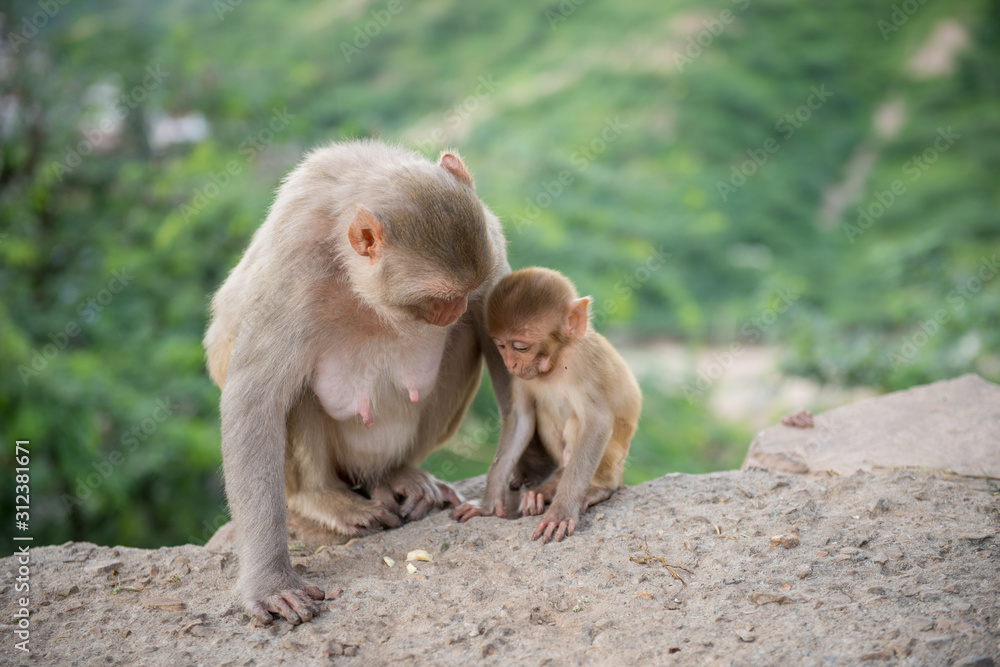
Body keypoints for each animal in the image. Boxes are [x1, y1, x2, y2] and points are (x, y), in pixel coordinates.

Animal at [207, 141, 512, 628]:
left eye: (471, 288)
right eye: (440, 297)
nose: (459, 307)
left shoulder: (491, 241)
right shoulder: (295, 270)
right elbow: (254, 401)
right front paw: (271, 583)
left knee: (464, 339)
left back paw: (396, 475)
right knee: (297, 395)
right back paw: (321, 498)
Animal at [452, 266, 640, 544]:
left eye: (521, 347)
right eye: (501, 346)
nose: (510, 364)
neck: (556, 360)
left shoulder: (582, 363)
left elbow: (596, 422)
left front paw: (562, 511)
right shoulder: (520, 377)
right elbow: (520, 419)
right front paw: (487, 504)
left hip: (616, 462)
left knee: (577, 424)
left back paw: (596, 488)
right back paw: (549, 486)